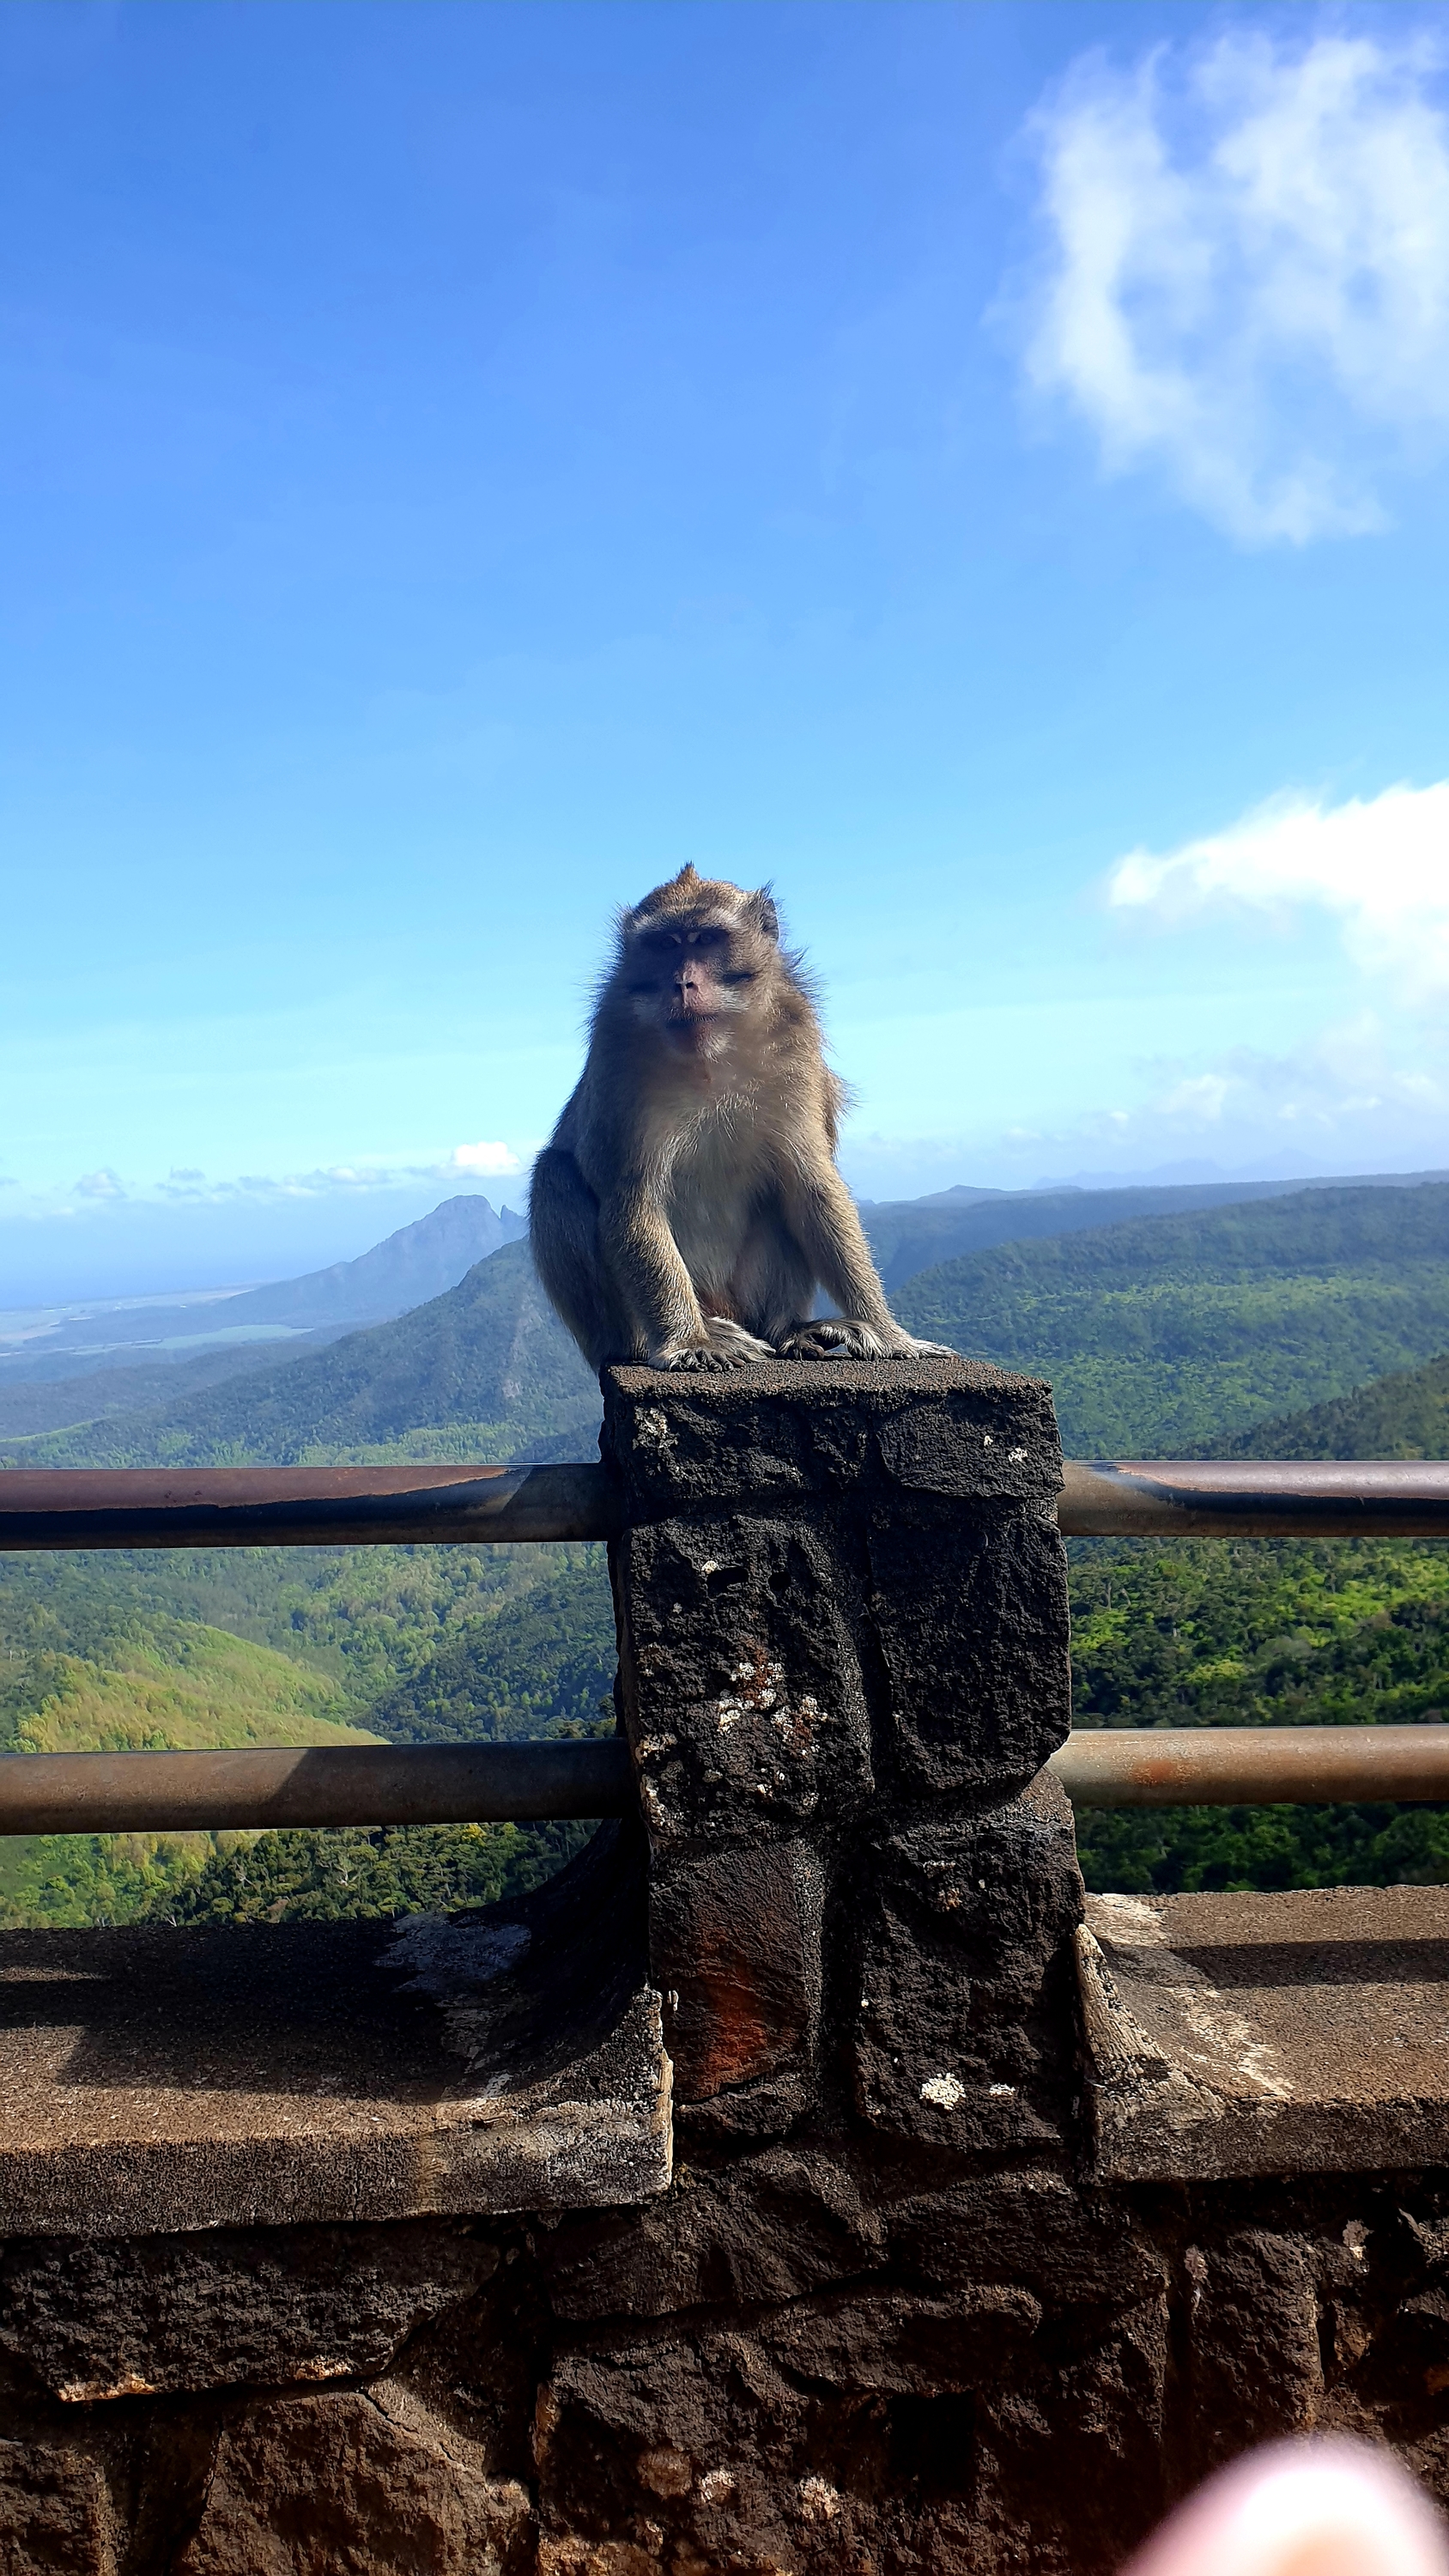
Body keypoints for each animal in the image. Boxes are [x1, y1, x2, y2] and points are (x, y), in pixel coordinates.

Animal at [530, 866, 952, 1381]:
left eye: (706, 939)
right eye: (665, 944)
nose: (682, 984)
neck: (711, 1055)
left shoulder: (797, 1049)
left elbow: (811, 1187)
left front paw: (889, 1333)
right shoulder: (617, 1060)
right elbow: (633, 1198)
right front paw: (689, 1341)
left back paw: (786, 1328)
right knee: (553, 1175)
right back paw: (673, 1336)